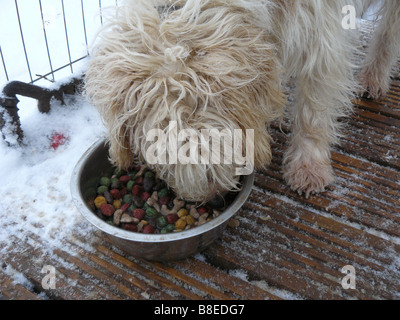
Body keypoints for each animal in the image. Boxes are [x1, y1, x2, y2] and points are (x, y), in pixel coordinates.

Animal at [85, 0, 400, 202]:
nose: (213, 198)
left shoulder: (322, 37)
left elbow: (313, 110)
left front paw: (308, 167)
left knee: (389, 30)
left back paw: (373, 76)